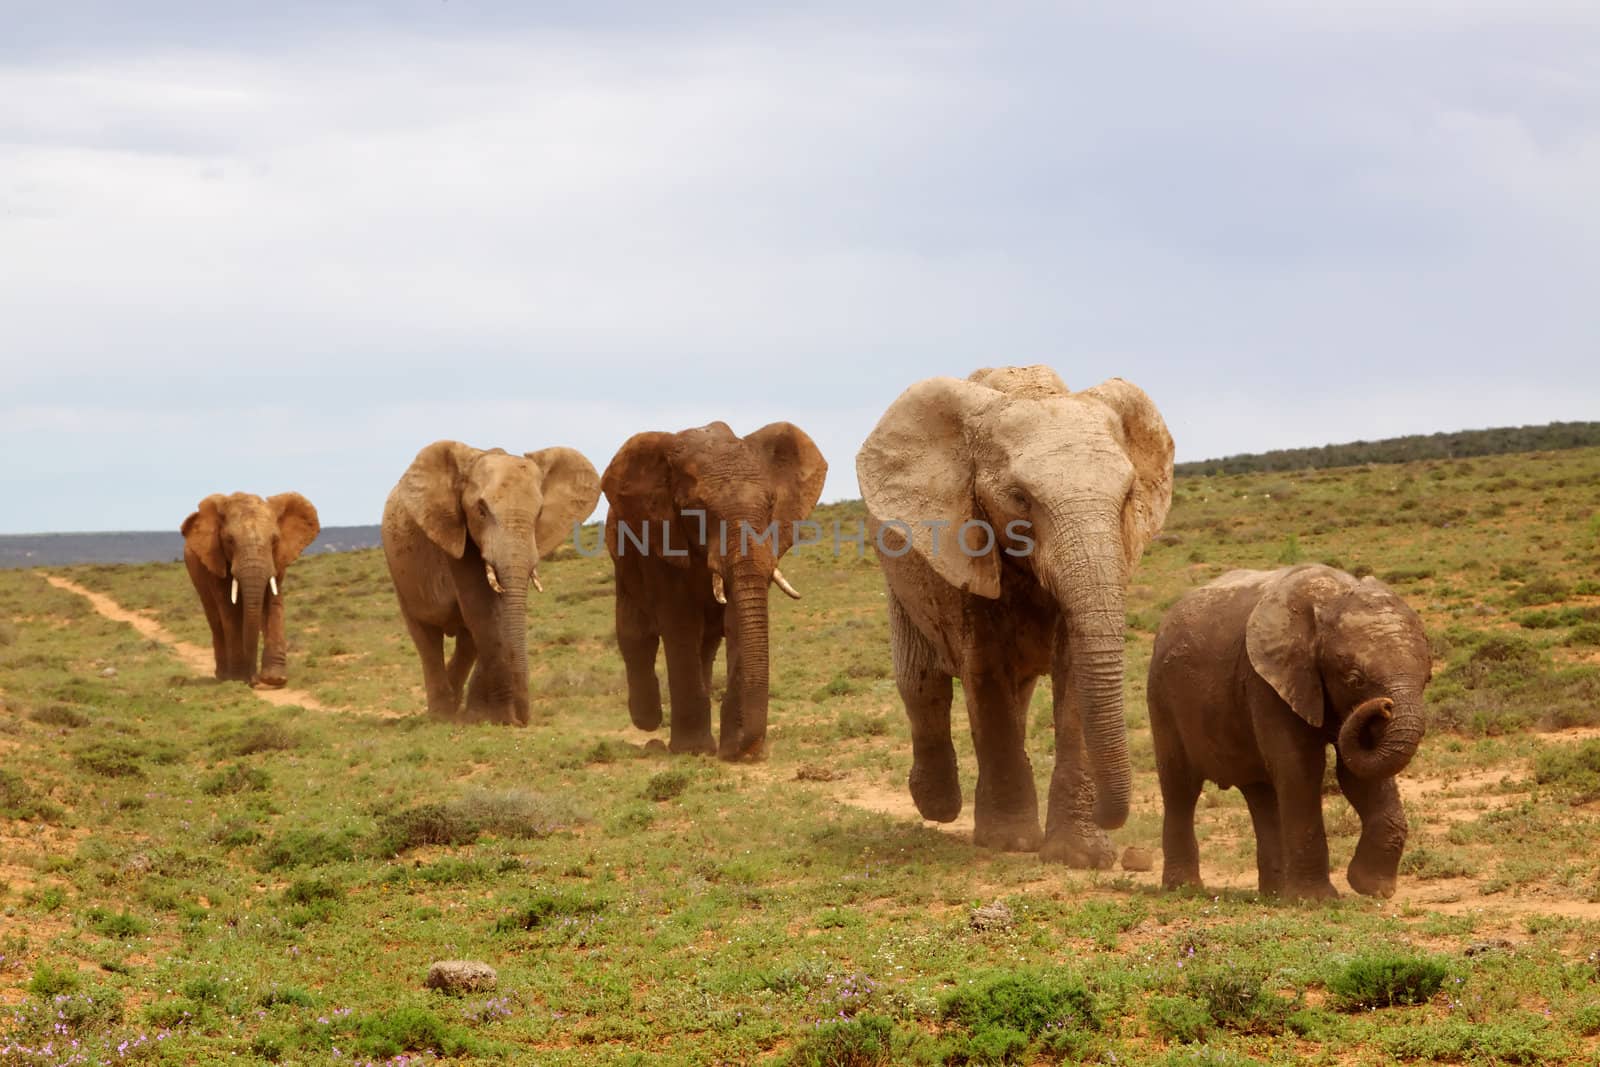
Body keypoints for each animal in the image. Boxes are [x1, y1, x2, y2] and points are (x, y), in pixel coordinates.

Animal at [180, 489, 321, 684]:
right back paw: (223, 675)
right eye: (229, 540)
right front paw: (239, 678)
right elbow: (229, 609)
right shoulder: (214, 559)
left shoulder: (277, 559)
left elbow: (273, 602)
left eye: (275, 540)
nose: (254, 680)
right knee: (215, 619)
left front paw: (274, 680)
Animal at [380, 441, 601, 726]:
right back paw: (441, 715)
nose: (523, 719)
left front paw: (482, 716)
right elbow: (483, 610)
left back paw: (455, 705)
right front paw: (499, 718)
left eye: (539, 513)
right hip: (400, 576)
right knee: (426, 637)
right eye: (481, 511)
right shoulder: (456, 533)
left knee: (466, 641)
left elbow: (491, 618)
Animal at [598, 422, 825, 764]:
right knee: (636, 634)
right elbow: (680, 624)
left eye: (771, 504)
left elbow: (734, 621)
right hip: (623, 560)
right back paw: (648, 720)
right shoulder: (661, 539)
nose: (750, 749)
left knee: (704, 645)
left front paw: (733, 750)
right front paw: (693, 750)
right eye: (697, 510)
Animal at [864, 367, 1177, 870]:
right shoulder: (963, 540)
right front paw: (1009, 843)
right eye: (1019, 499)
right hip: (895, 571)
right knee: (921, 683)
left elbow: (1074, 672)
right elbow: (985, 670)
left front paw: (1082, 856)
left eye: (1129, 495)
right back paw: (937, 807)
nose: (1114, 822)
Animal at [1152, 566, 1440, 902]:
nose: (1383, 707)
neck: (1330, 597)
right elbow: (1301, 768)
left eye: (1428, 678)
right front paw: (1317, 901)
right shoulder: (1268, 681)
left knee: (1261, 795)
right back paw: (1184, 890)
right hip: (1161, 697)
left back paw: (1274, 895)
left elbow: (1358, 773)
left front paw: (1372, 888)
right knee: (1180, 788)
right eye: (1354, 680)